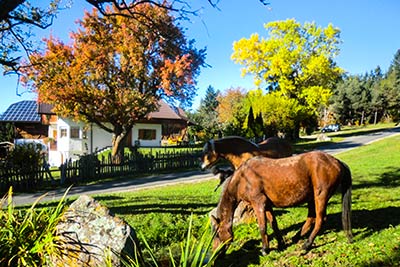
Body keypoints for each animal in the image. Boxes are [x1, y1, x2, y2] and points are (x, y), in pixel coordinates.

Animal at [211, 151, 352, 255]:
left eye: (217, 234)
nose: (214, 254)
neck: (242, 178)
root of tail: (336, 161)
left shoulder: (258, 204)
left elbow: (262, 227)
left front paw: (265, 249)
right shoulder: (267, 205)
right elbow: (274, 224)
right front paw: (280, 244)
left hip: (320, 196)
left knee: (320, 219)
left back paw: (306, 245)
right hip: (312, 198)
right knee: (311, 218)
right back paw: (296, 237)